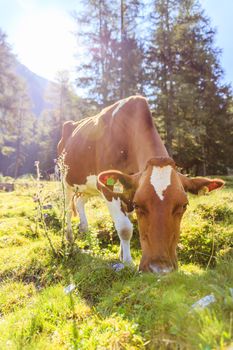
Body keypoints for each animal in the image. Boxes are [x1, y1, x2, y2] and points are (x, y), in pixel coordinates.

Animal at [57, 95, 224, 274]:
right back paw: (69, 239)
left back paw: (85, 230)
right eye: (138, 205)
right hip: (65, 181)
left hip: (87, 187)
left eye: (184, 205)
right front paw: (128, 263)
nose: (159, 269)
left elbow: (128, 220)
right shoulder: (108, 189)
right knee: (67, 209)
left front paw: (122, 255)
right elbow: (125, 227)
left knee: (79, 201)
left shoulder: (127, 189)